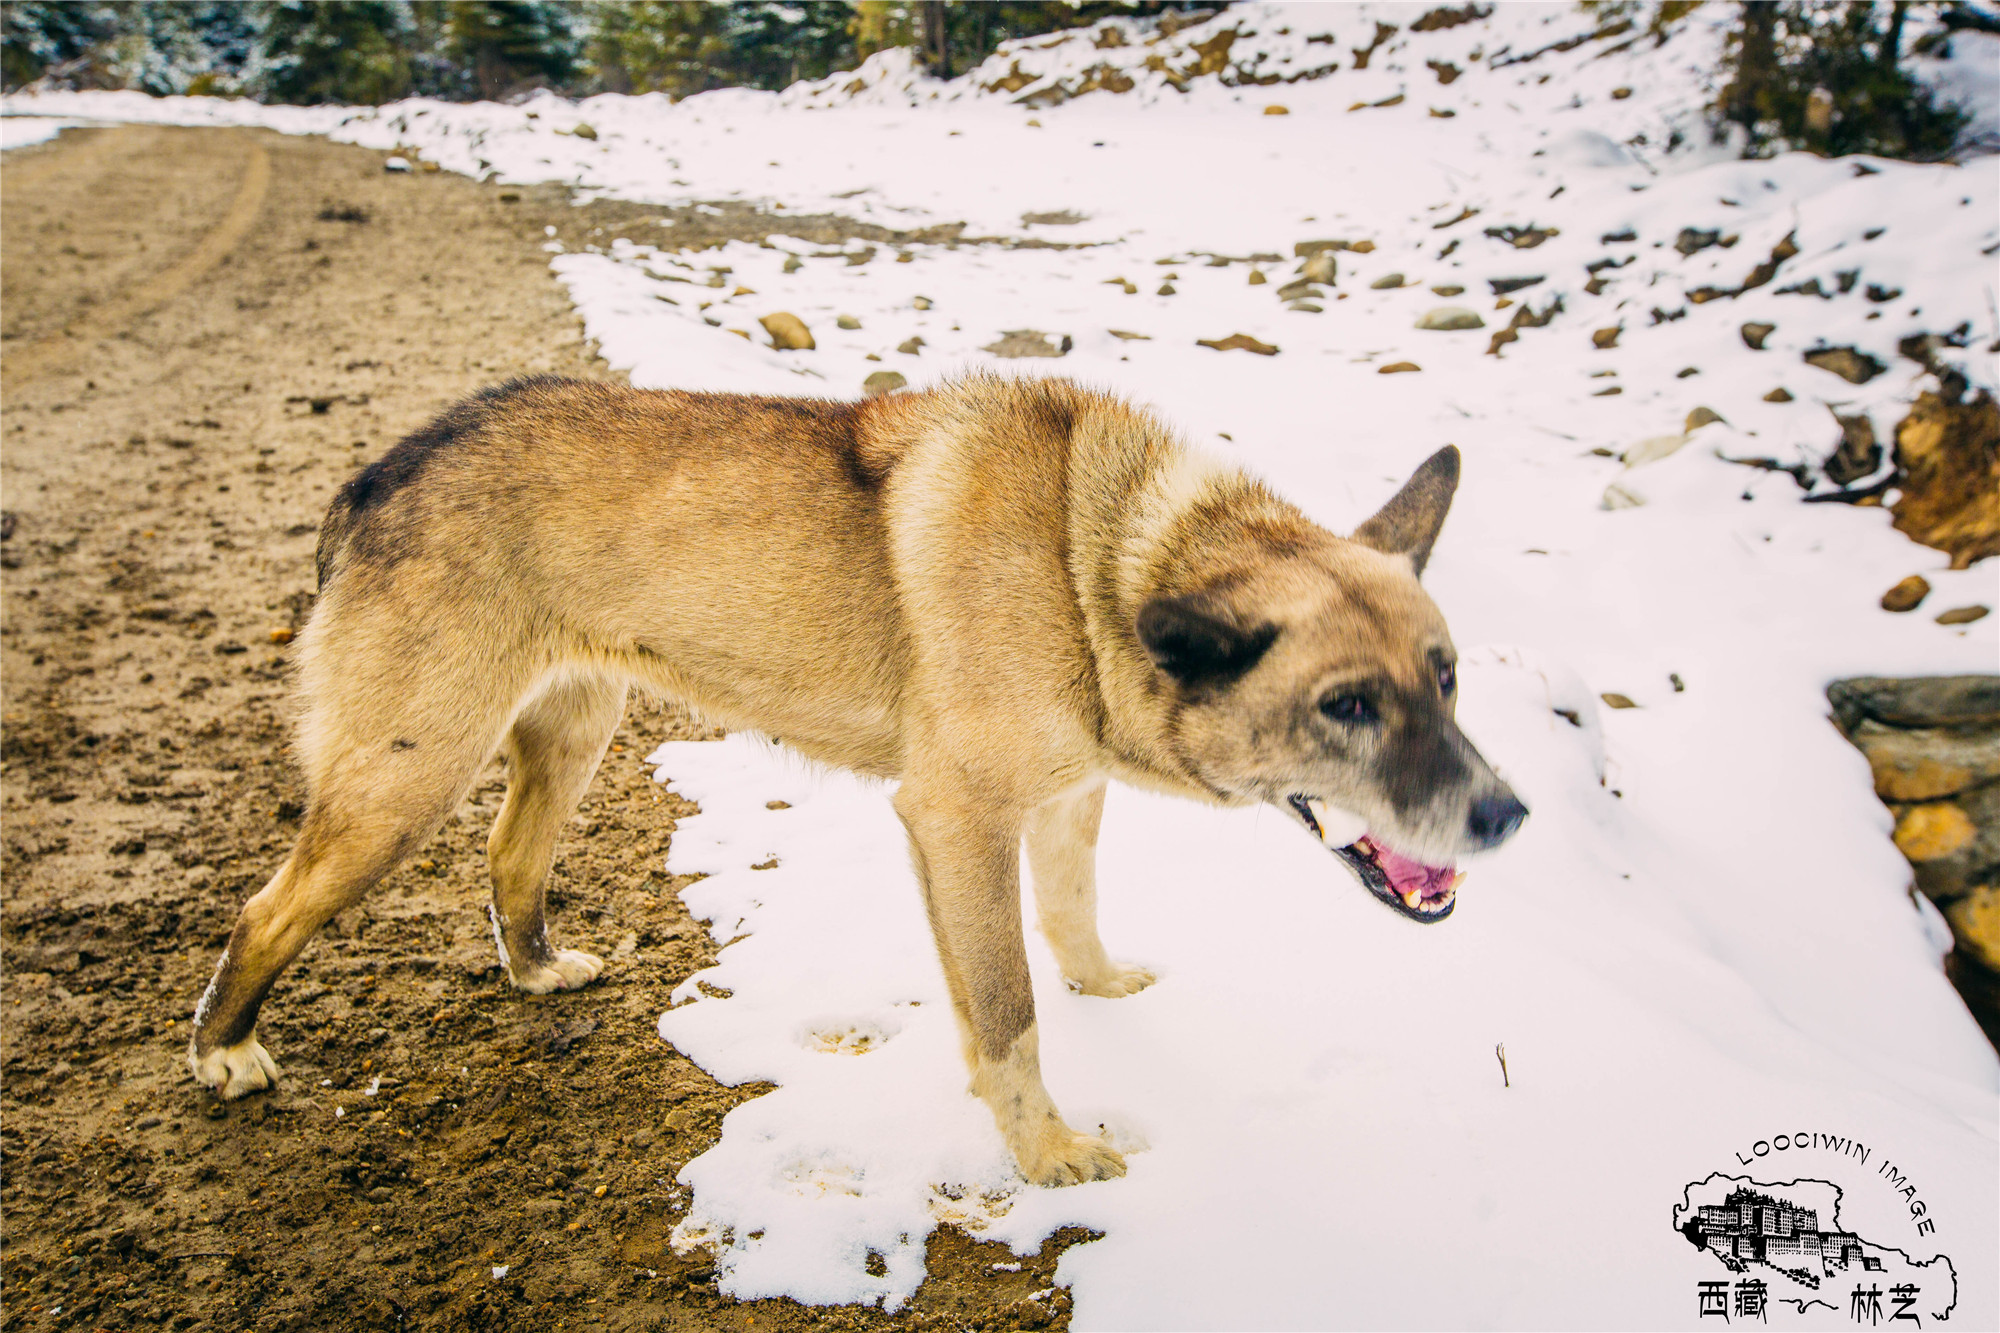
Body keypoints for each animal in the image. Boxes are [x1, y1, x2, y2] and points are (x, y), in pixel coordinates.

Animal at [195, 374, 1520, 1184]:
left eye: (1447, 677)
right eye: (1344, 706)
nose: (1505, 814)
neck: (1084, 557)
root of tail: (384, 467)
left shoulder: (1064, 796)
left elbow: (1071, 917)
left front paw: (1098, 984)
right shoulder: (958, 822)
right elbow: (1008, 1014)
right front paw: (1045, 1156)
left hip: (566, 734)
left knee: (508, 856)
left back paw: (532, 968)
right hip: (404, 781)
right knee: (264, 910)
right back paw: (224, 1053)